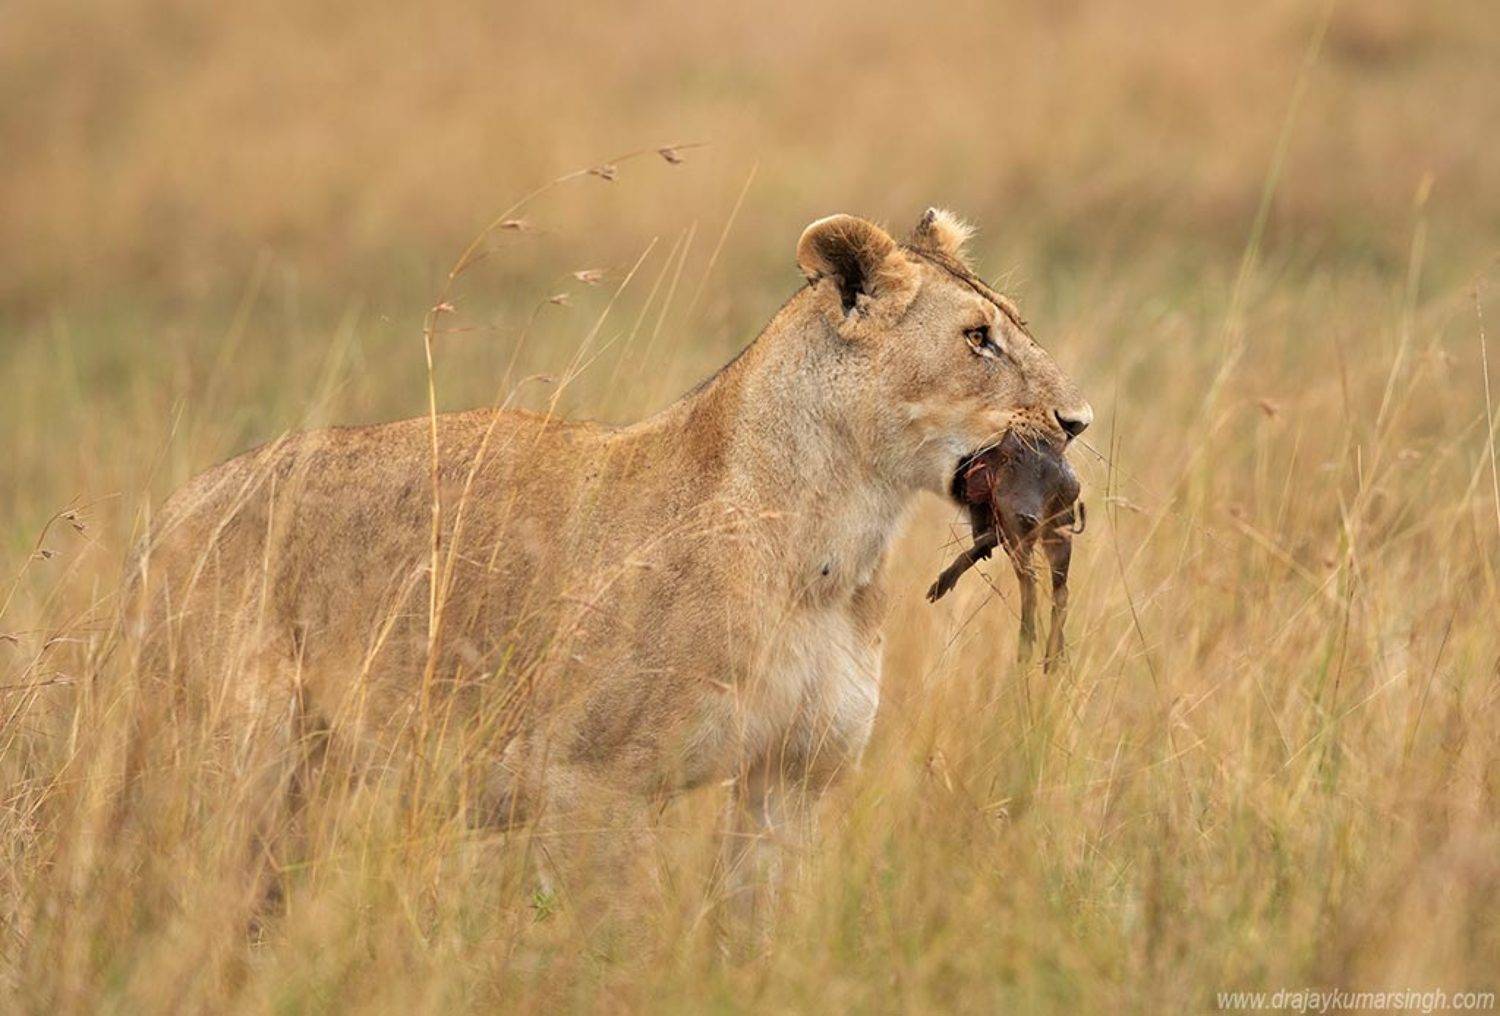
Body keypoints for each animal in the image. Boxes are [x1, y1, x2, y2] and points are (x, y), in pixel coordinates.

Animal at [128, 208, 1091, 919]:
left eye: (1015, 326)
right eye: (977, 338)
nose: (1078, 421)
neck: (834, 543)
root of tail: (168, 516)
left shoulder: (790, 780)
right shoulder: (586, 784)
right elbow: (613, 939)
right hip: (233, 767)